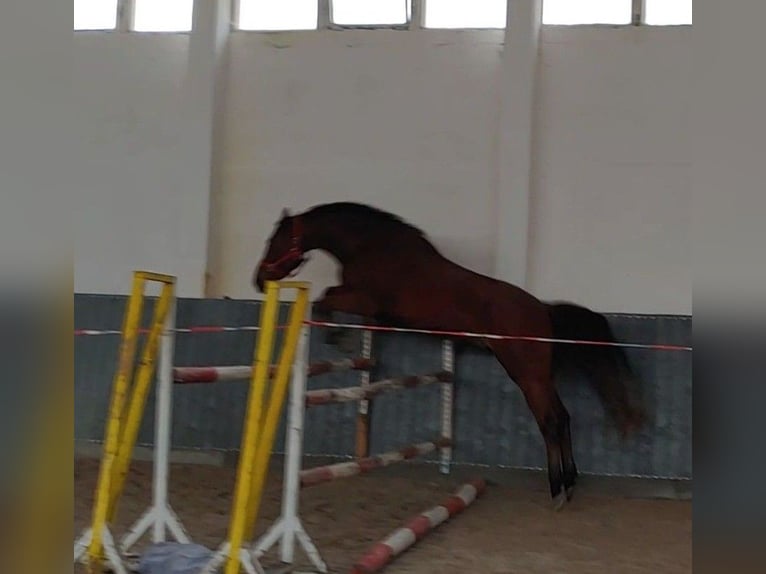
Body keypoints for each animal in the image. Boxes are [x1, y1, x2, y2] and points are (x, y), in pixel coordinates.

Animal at [255, 204, 644, 512]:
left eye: (275, 240)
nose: (259, 279)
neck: (372, 248)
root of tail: (543, 311)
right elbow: (328, 297)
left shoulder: (365, 301)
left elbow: (324, 297)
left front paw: (339, 339)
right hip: (539, 377)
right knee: (562, 418)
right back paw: (569, 484)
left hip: (526, 375)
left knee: (550, 421)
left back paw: (558, 489)